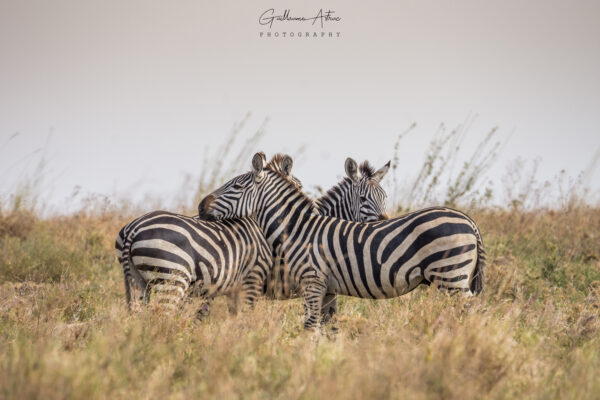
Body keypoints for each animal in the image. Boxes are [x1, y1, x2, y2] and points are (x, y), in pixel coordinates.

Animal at [199, 152, 486, 330]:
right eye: (363, 198)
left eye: (235, 187)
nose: (201, 206)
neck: (299, 228)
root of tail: (469, 220)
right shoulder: (326, 288)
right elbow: (328, 329)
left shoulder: (314, 283)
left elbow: (315, 327)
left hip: (452, 277)